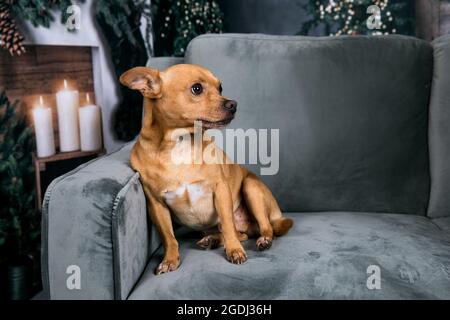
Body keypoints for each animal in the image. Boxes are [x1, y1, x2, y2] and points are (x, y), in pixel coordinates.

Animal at [121, 63, 294, 274]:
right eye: (197, 88)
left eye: (220, 88)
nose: (233, 104)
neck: (181, 143)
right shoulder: (156, 204)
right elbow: (169, 237)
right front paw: (169, 260)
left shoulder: (220, 190)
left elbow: (227, 224)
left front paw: (235, 251)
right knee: (242, 234)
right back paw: (211, 240)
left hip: (251, 187)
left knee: (264, 227)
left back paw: (263, 240)